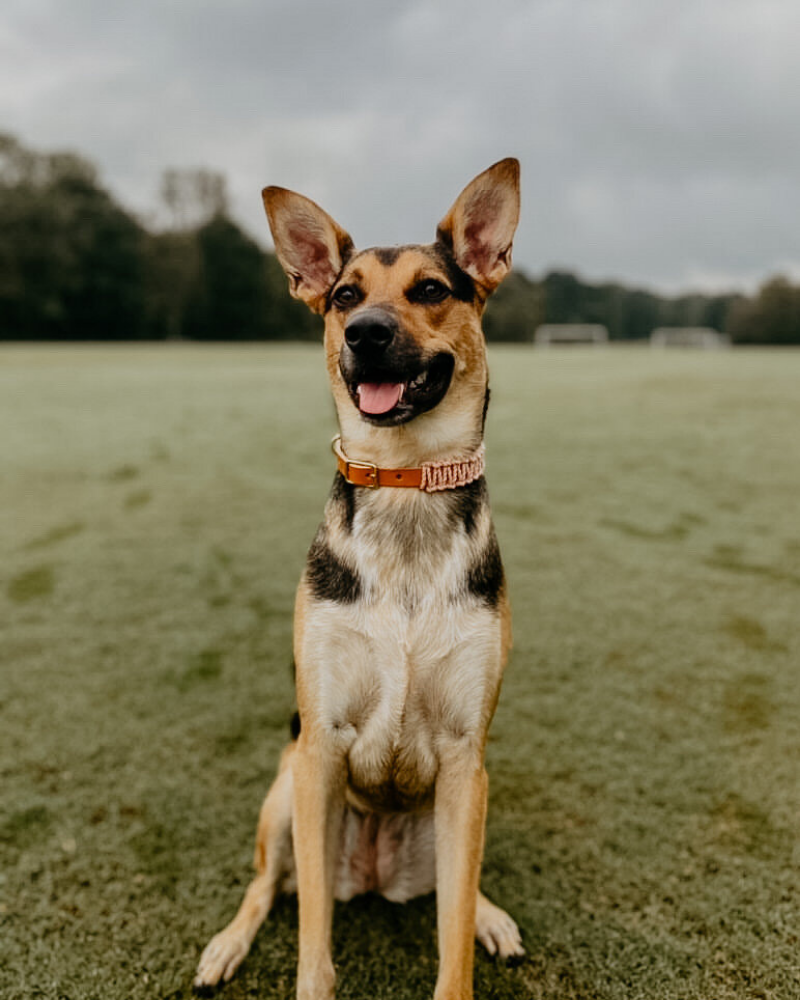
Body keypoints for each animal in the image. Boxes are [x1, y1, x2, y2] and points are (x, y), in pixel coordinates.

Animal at [195, 156, 524, 1000]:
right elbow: (312, 928)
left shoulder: (465, 752)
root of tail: (374, 874)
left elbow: (451, 943)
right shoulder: (321, 749)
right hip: (283, 793)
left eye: (430, 290)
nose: (365, 333)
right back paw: (225, 946)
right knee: (267, 886)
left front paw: (473, 934)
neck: (404, 481)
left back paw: (490, 914)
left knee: (459, 887)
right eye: (344, 295)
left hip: (467, 800)